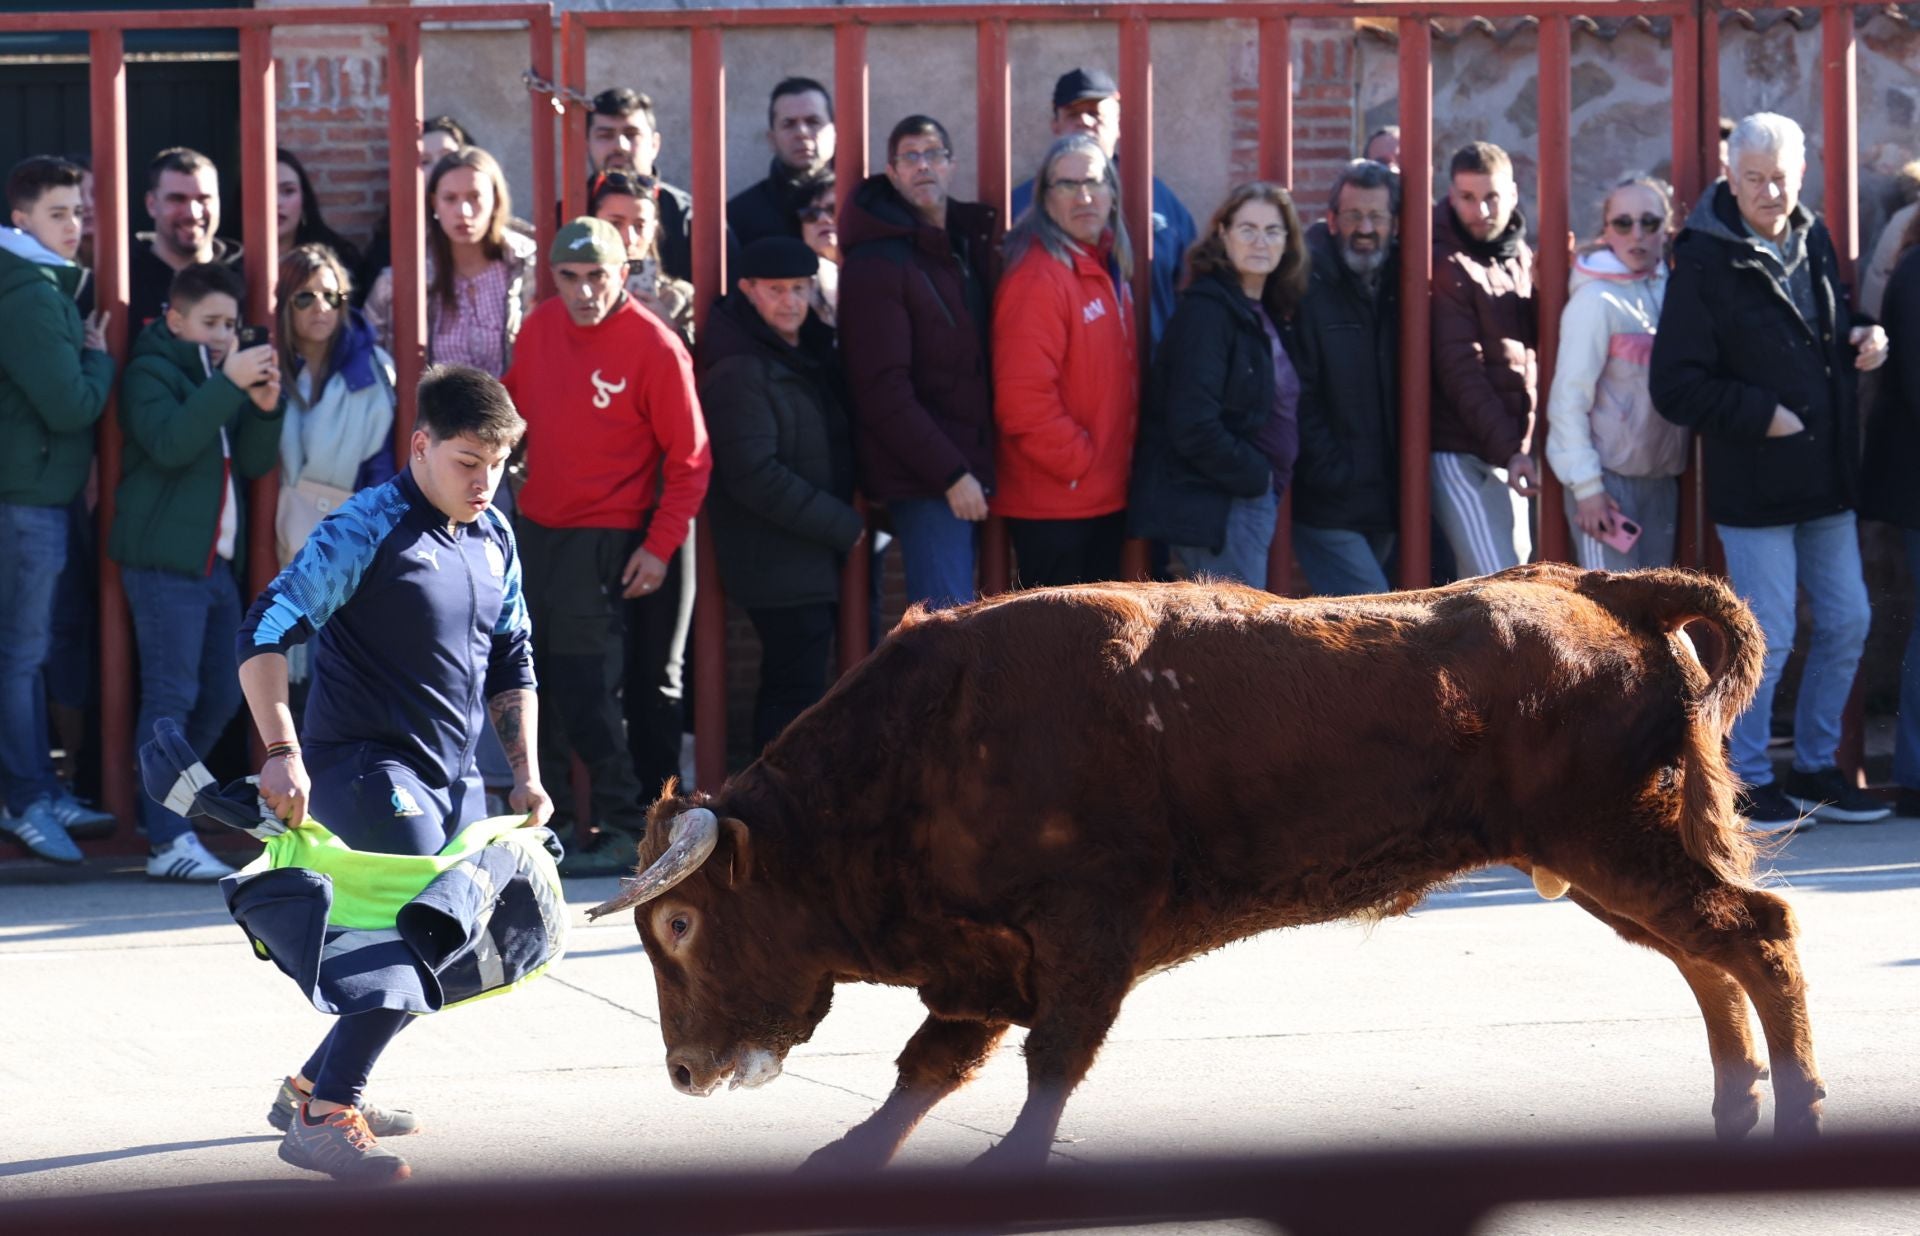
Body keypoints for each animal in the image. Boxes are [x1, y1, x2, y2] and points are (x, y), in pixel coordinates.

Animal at [591, 564, 1820, 1166]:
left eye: (682, 925)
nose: (685, 1071)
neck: (931, 743)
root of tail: (1600, 591)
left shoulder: (1084, 936)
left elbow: (1046, 1067)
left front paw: (1010, 1169)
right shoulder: (984, 966)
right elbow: (922, 1076)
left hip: (1614, 841)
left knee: (1754, 935)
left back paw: (1796, 1111)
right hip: (1603, 859)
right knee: (1704, 957)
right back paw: (1736, 1111)